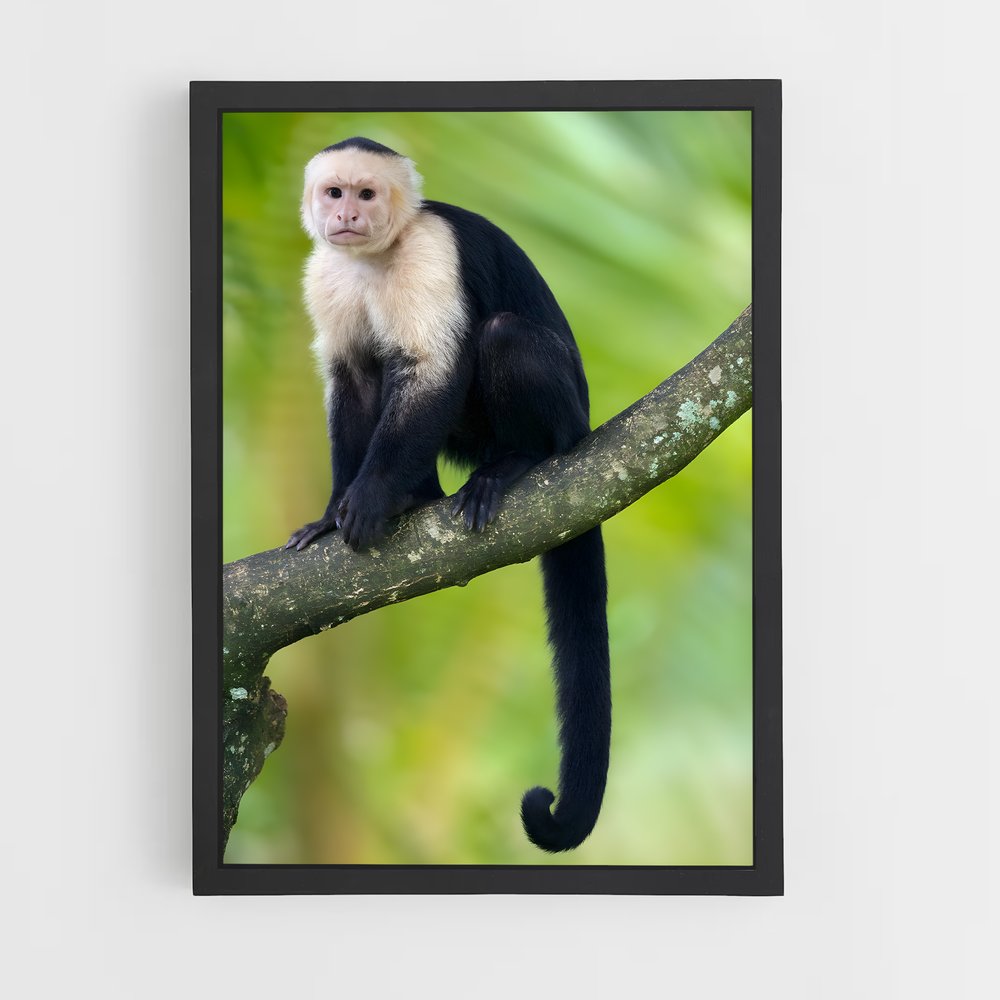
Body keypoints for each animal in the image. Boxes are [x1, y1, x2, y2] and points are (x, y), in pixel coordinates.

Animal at [285, 137, 610, 852]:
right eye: (334, 193)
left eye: (367, 194)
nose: (346, 215)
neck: (375, 258)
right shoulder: (325, 274)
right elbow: (352, 376)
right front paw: (335, 513)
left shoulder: (431, 251)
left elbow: (433, 368)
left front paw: (370, 498)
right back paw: (419, 494)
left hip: (567, 417)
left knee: (500, 335)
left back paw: (518, 461)